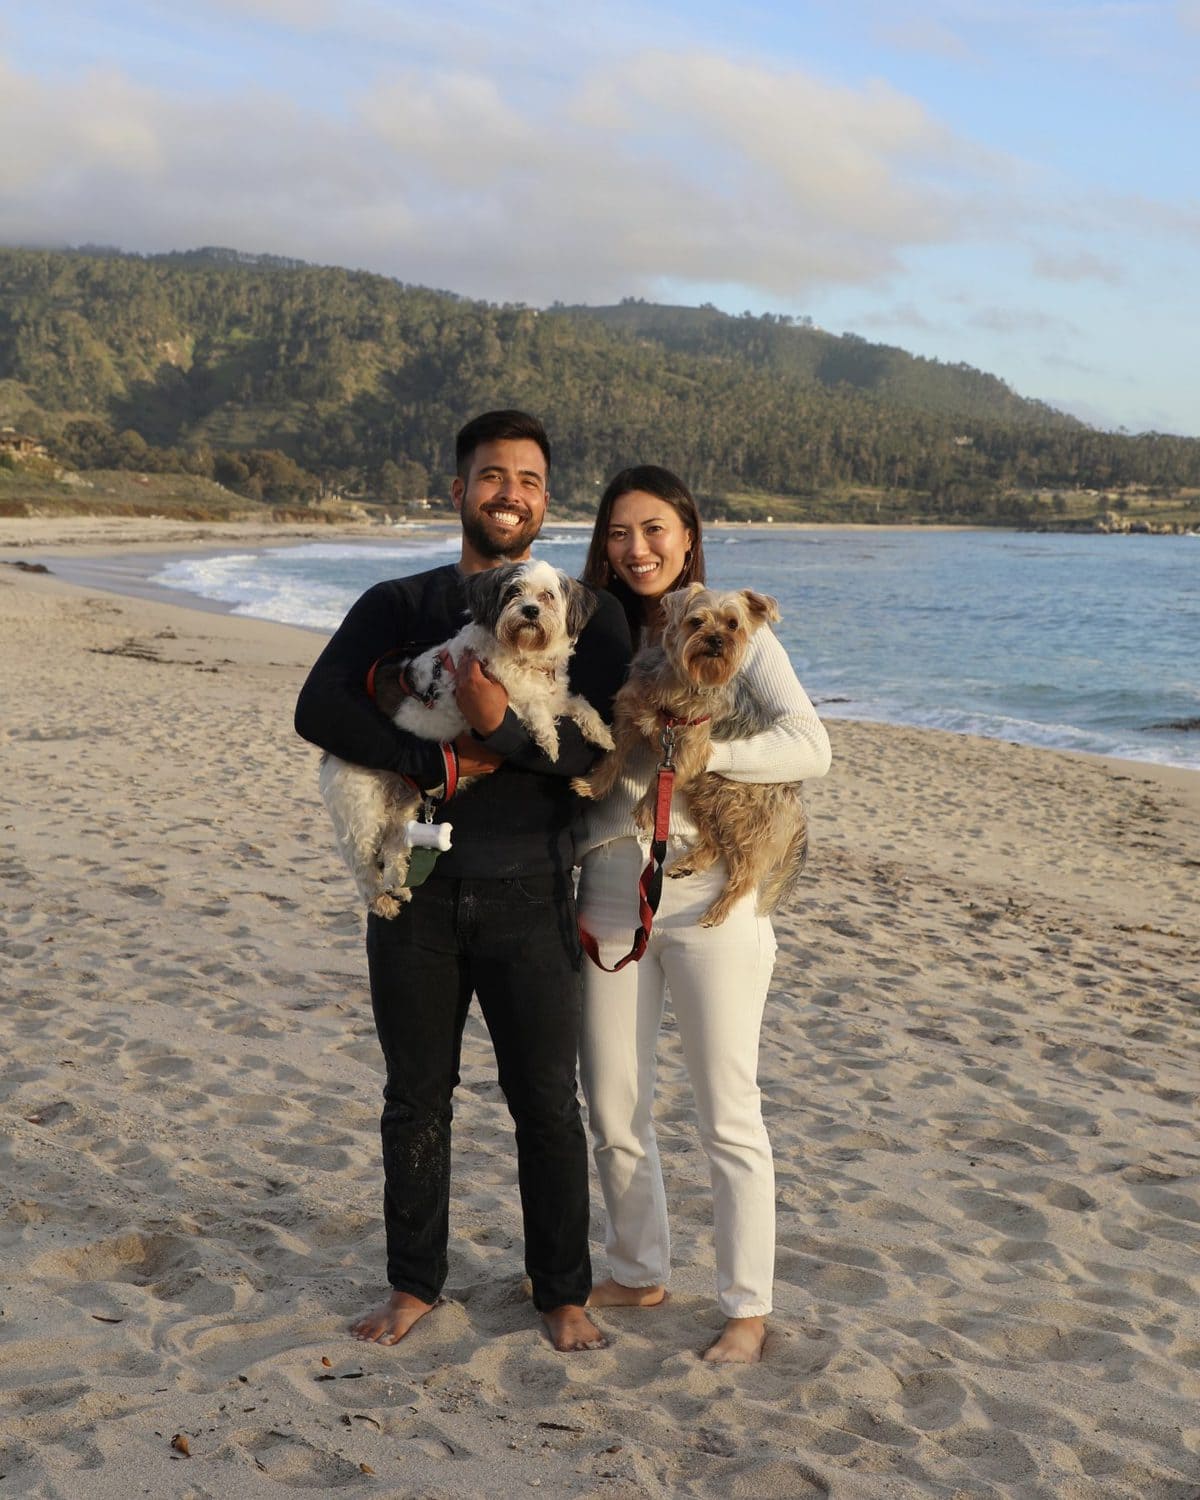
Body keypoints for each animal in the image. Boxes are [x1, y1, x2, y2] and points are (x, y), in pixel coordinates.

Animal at [316, 561, 609, 918]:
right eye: (513, 592)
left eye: (547, 596)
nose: (530, 610)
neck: (522, 656)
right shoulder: (489, 698)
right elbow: (530, 706)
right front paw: (548, 739)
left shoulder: (554, 695)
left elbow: (578, 704)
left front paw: (601, 732)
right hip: (362, 807)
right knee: (361, 863)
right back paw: (380, 899)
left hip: (402, 804)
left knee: (396, 845)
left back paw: (400, 886)